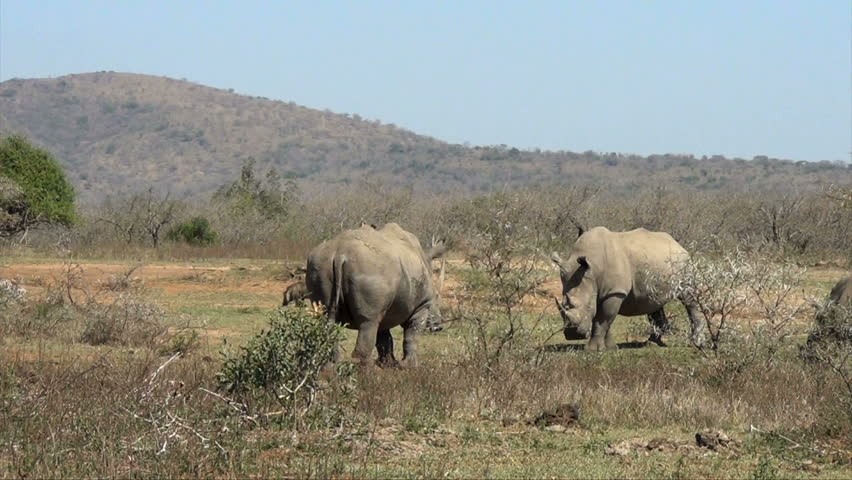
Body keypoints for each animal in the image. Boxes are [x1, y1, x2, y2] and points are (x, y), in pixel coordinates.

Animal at [306, 223, 447, 367]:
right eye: (436, 296)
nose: (439, 326)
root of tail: (340, 253)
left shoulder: (385, 305)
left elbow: (384, 338)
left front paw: (388, 364)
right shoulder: (423, 305)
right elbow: (412, 335)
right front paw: (409, 366)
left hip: (319, 265)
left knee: (329, 319)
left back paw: (331, 367)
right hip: (370, 269)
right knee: (368, 322)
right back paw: (368, 371)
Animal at [551, 226, 704, 352]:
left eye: (589, 306)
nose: (572, 334)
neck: (593, 267)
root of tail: (678, 245)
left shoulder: (614, 292)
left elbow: (602, 320)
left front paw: (592, 350)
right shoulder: (606, 291)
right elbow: (606, 321)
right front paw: (611, 348)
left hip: (684, 264)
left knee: (689, 298)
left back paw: (696, 344)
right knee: (653, 303)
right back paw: (651, 344)